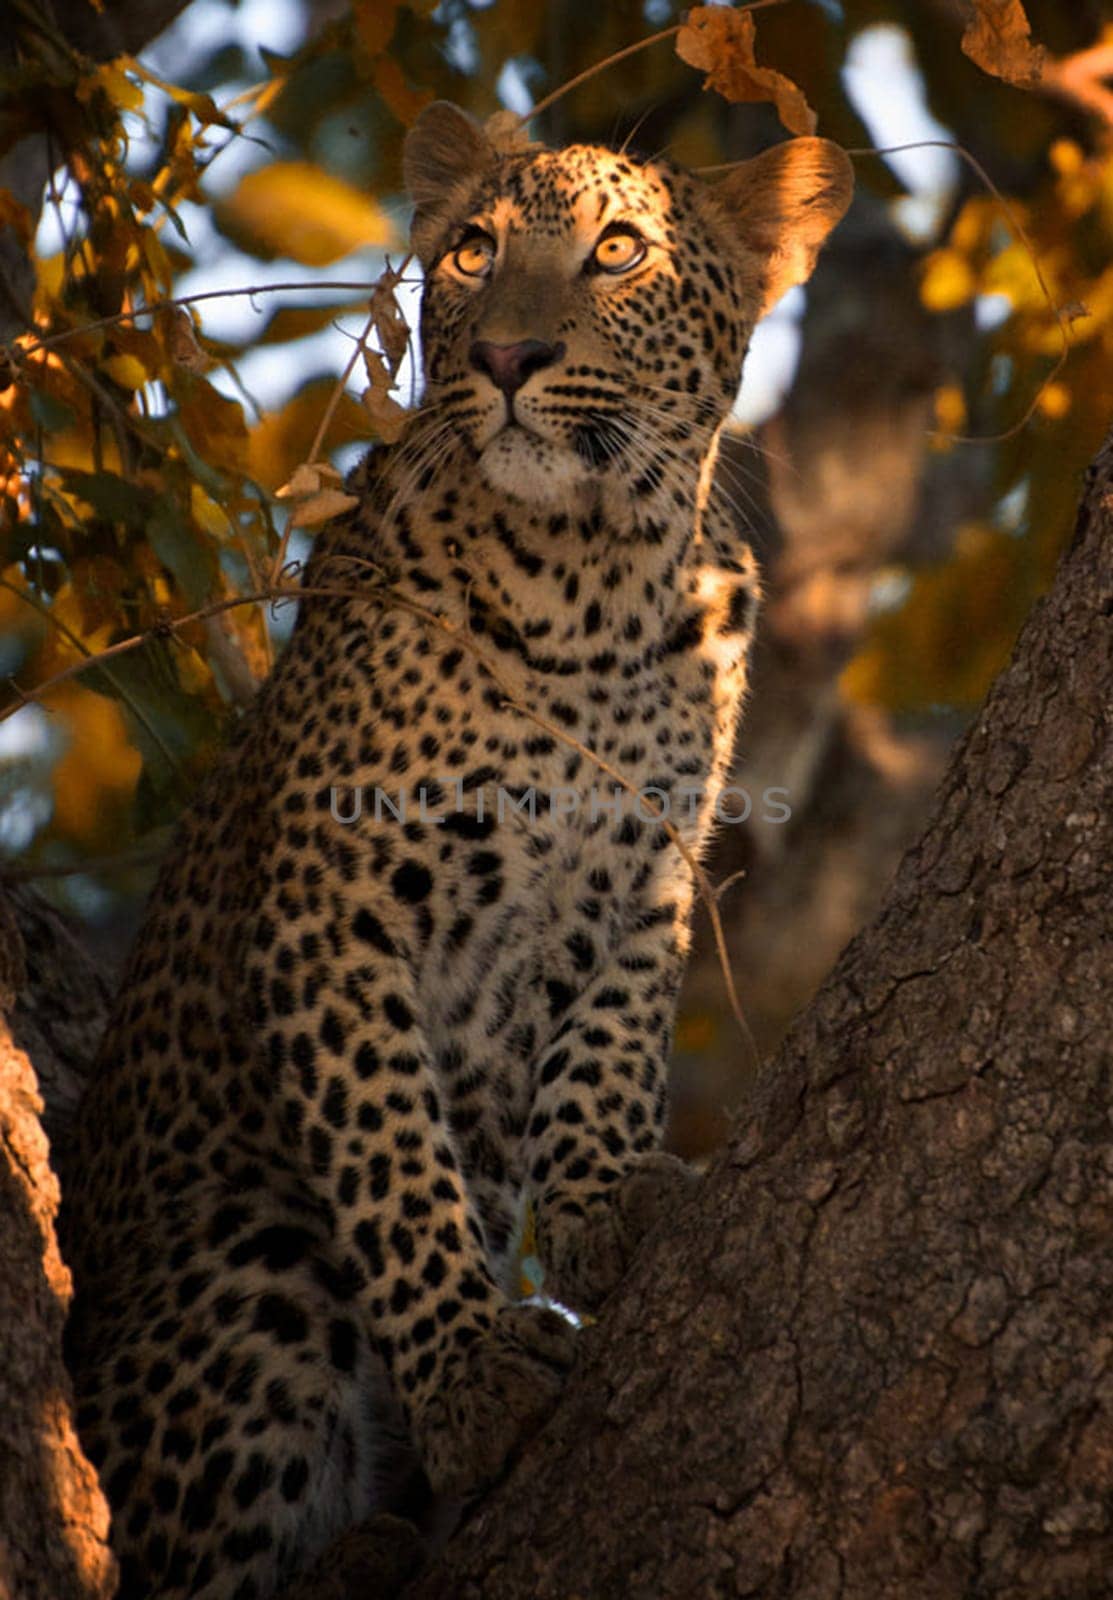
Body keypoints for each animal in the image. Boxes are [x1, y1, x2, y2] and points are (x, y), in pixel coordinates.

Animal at [60, 103, 850, 1600]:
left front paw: (606, 1201)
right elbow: (395, 1166)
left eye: (617, 250)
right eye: (473, 251)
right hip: (248, 1267)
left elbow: (608, 1053)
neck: (593, 582)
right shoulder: (330, 911)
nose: (505, 358)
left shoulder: (645, 876)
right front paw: (474, 1373)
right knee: (177, 1559)